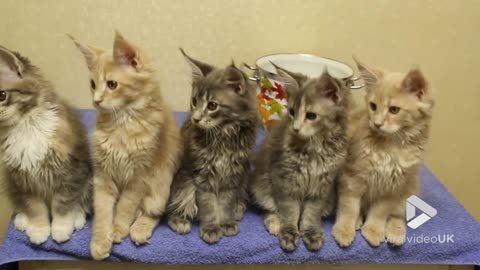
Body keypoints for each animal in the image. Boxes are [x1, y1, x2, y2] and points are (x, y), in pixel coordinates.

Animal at [0, 46, 92, 245]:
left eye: (2, 95)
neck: (26, 126)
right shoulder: (23, 178)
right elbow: (34, 207)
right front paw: (39, 229)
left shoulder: (69, 172)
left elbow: (63, 205)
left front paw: (61, 228)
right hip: (11, 182)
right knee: (19, 202)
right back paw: (22, 220)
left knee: (81, 200)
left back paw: (77, 219)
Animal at [70, 32, 183, 260]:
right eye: (92, 84)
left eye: (112, 84)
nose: (96, 100)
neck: (121, 124)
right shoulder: (102, 175)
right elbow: (104, 211)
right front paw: (100, 241)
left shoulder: (140, 177)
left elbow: (125, 206)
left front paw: (118, 229)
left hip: (161, 185)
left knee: (154, 213)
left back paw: (139, 229)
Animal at [167, 49, 260, 244]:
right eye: (194, 101)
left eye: (212, 105)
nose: (195, 118)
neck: (223, 134)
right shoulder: (202, 176)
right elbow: (208, 205)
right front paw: (211, 228)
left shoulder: (233, 174)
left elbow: (225, 202)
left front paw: (226, 222)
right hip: (183, 182)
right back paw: (179, 221)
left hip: (244, 177)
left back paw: (237, 210)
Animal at [251, 65, 348, 251]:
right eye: (292, 112)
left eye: (311, 116)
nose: (295, 128)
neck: (316, 147)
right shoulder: (285, 179)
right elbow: (289, 211)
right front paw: (289, 233)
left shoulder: (322, 184)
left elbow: (311, 213)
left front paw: (311, 232)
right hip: (262, 186)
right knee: (270, 207)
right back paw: (275, 222)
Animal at [332, 60, 434, 248]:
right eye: (373, 106)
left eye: (394, 110)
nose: (377, 123)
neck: (389, 146)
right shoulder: (352, 176)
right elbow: (349, 206)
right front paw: (344, 229)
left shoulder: (395, 185)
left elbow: (381, 211)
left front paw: (373, 230)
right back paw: (358, 221)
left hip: (409, 188)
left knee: (398, 214)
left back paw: (395, 232)